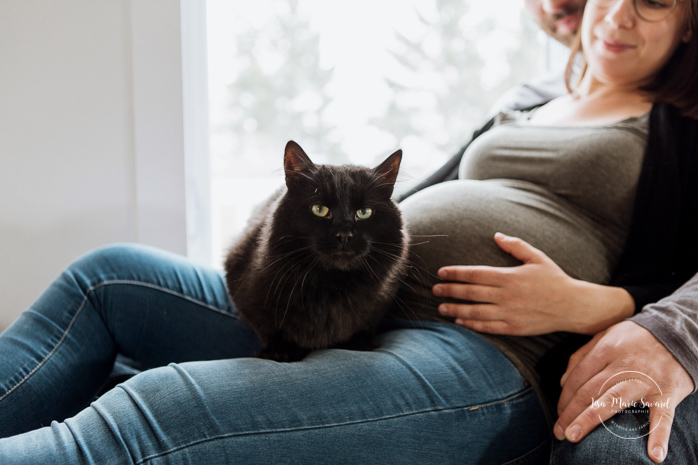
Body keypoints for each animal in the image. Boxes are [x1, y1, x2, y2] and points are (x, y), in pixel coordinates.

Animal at [223, 140, 408, 360]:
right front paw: (281, 351)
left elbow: (363, 328)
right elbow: (269, 328)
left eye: (364, 212)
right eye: (319, 209)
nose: (344, 235)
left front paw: (359, 344)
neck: (331, 287)